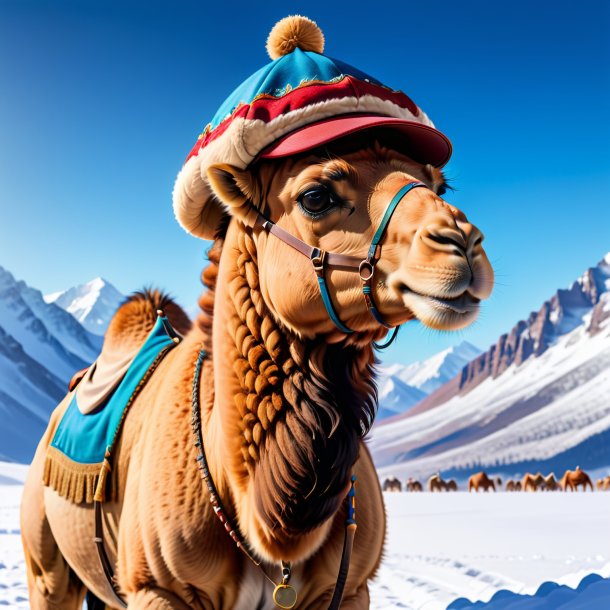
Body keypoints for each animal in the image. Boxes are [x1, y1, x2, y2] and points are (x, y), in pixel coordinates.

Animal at [21, 14, 492, 608]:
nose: (461, 243)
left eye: (437, 182)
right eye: (315, 194)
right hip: (48, 568)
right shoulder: (156, 588)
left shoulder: (349, 587)